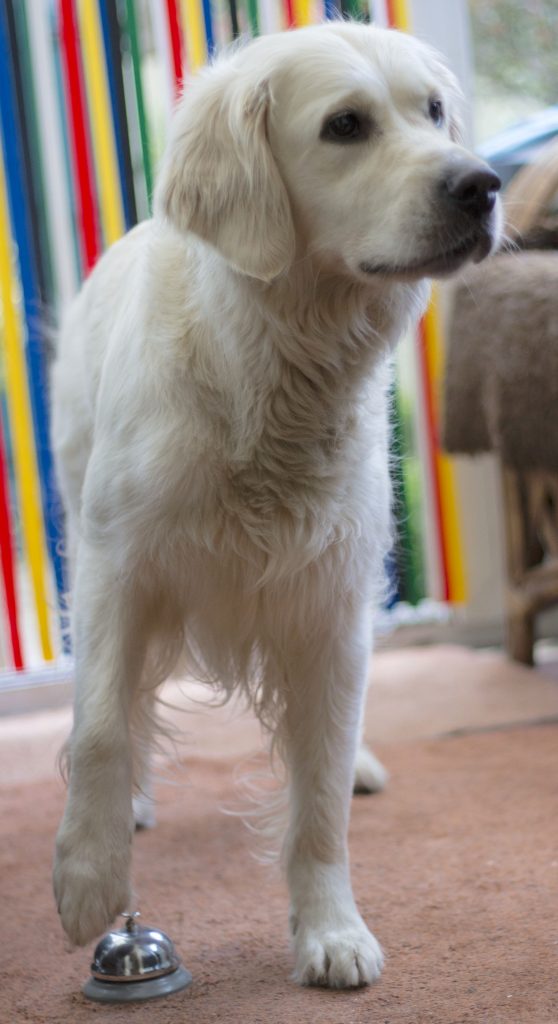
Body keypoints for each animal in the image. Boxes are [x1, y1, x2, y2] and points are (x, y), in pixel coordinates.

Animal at [50, 19, 497, 987]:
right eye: (345, 126)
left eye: (433, 111)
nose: (481, 185)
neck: (270, 370)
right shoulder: (118, 567)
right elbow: (101, 725)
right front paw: (89, 879)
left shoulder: (329, 601)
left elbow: (319, 797)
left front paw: (331, 931)